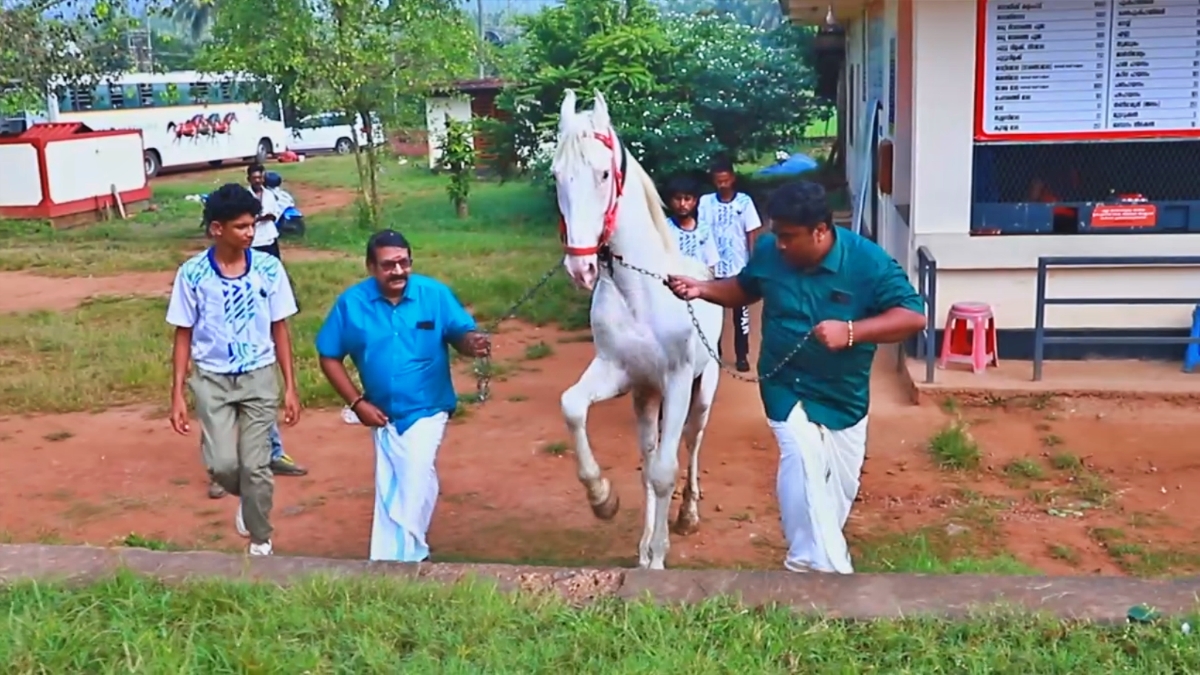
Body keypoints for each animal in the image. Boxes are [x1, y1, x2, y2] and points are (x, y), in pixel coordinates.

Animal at [549, 86, 720, 564]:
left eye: (604, 173)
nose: (581, 268)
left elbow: (664, 471)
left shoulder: (678, 380)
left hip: (703, 389)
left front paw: (659, 555)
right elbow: (572, 406)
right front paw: (602, 499)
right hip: (646, 397)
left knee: (693, 442)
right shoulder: (620, 373)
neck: (640, 292)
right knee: (649, 451)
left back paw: (688, 515)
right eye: (556, 175)